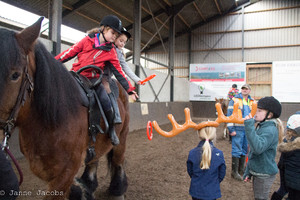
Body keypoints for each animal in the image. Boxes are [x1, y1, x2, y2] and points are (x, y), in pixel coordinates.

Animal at [0, 18, 129, 199]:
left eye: (15, 75)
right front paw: (83, 191)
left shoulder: (64, 174)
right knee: (94, 159)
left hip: (122, 137)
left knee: (118, 160)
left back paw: (118, 190)